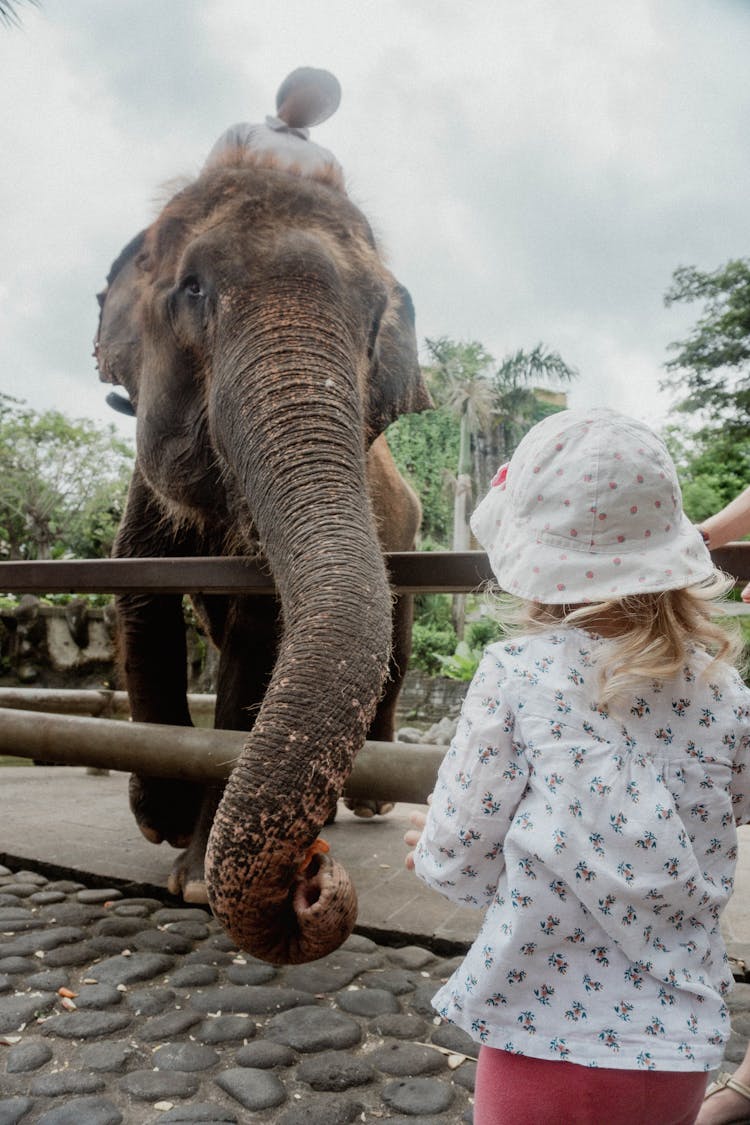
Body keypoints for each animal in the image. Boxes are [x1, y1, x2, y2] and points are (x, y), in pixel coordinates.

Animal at [94, 131, 434, 963]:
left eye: (375, 317)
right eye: (192, 290)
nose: (315, 876)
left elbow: (260, 636)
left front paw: (190, 877)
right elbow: (140, 596)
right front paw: (161, 815)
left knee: (398, 657)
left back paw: (367, 804)